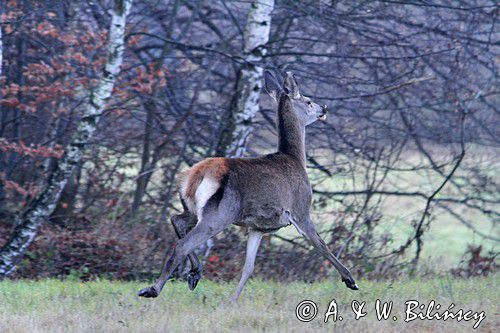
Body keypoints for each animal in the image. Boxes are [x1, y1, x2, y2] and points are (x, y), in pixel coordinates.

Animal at [139, 68, 358, 300]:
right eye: (307, 101)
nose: (324, 108)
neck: (296, 159)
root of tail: (193, 177)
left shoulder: (257, 227)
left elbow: (249, 267)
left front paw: (232, 300)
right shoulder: (300, 210)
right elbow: (321, 244)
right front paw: (350, 280)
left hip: (193, 208)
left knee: (176, 219)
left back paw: (195, 273)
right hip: (219, 214)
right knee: (182, 244)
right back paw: (152, 289)